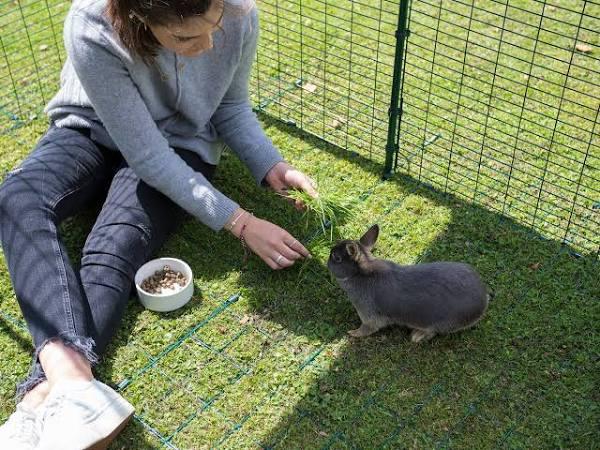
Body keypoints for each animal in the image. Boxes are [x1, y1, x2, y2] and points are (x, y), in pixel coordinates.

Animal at [326, 223, 490, 342]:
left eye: (337, 258)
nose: (327, 263)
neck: (359, 274)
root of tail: (483, 300)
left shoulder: (368, 315)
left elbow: (367, 329)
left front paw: (352, 333)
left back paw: (416, 336)